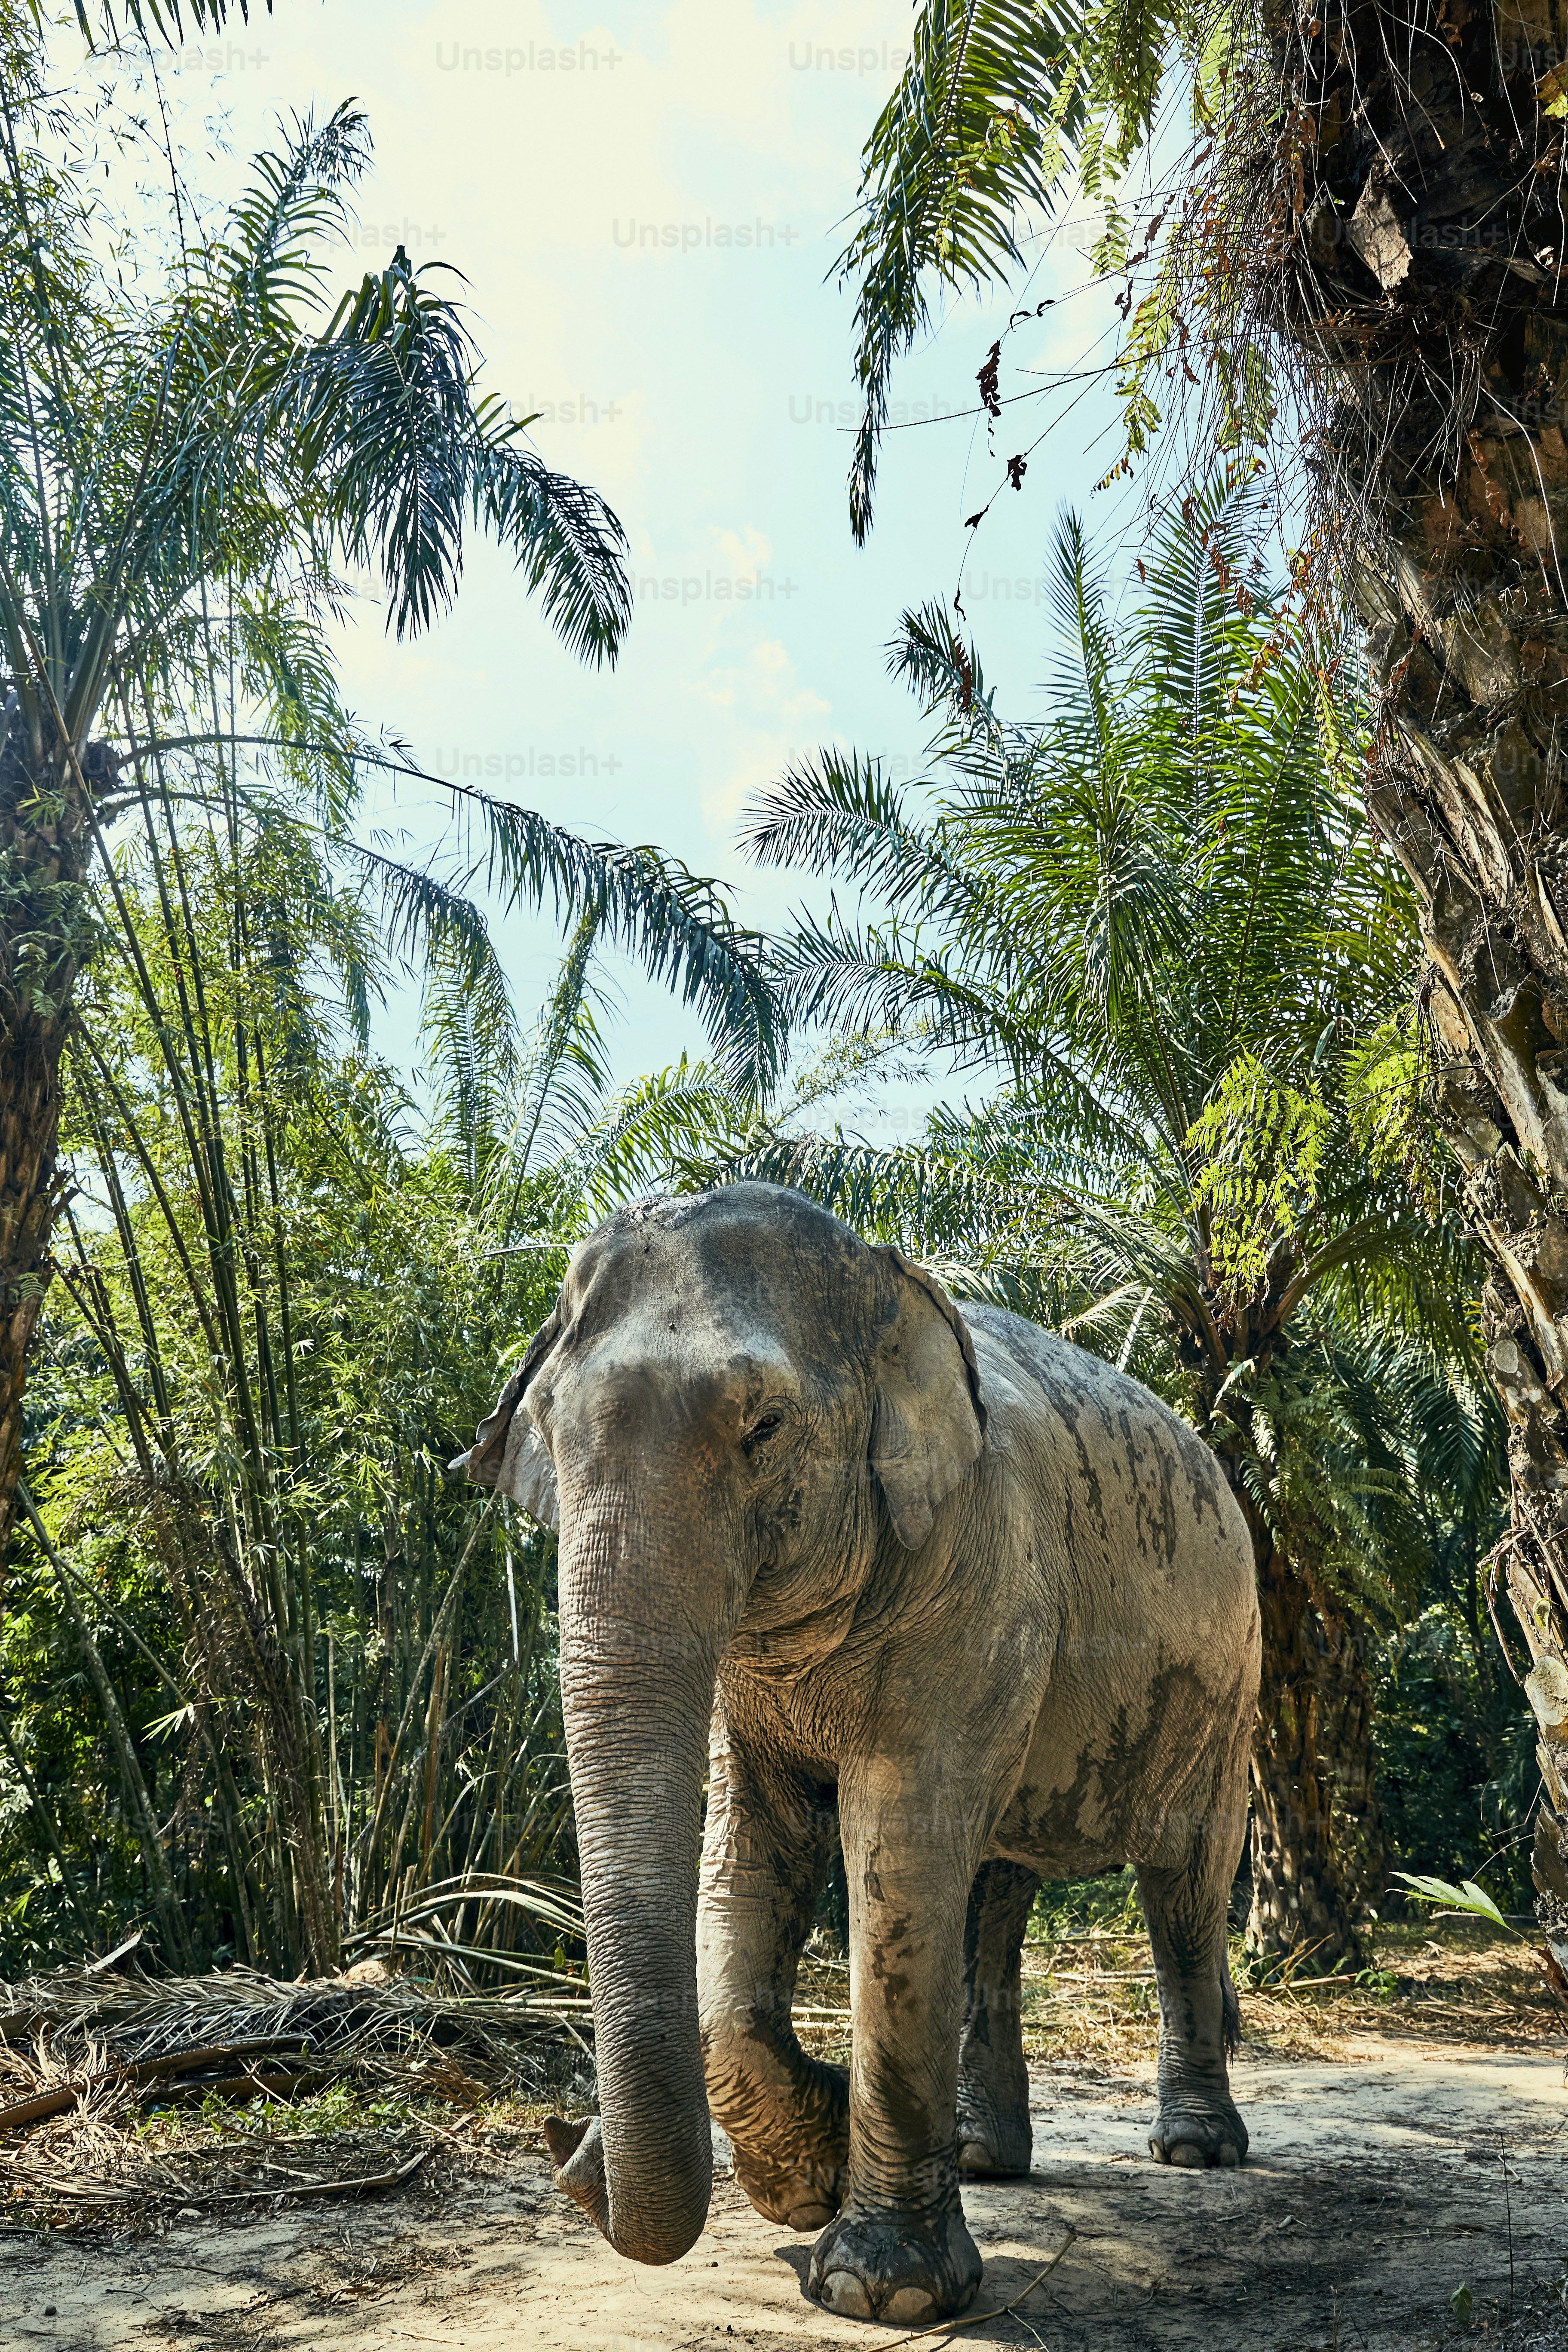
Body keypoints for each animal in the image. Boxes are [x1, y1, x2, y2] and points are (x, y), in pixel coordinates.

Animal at [457, 1181, 1261, 2327]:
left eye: (763, 1426)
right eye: (548, 1439)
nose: (569, 2147)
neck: (891, 1289)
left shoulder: (975, 1573)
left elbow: (896, 1848)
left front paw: (882, 2288)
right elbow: (756, 1845)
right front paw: (812, 2175)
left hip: (1229, 1679)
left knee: (1182, 1881)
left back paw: (1194, 2150)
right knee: (993, 1887)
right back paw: (979, 2155)